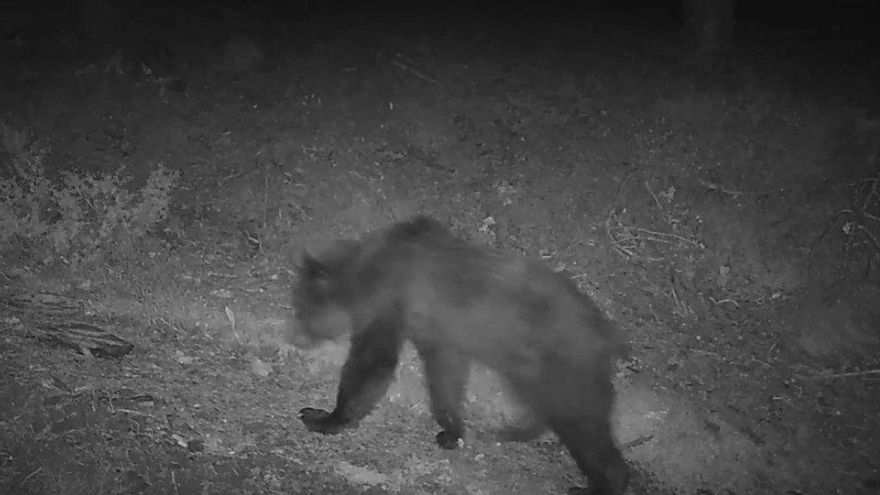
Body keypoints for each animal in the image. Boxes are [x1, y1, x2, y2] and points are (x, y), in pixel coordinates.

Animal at [290, 215, 629, 495]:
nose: (294, 336)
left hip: (564, 369)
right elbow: (445, 374)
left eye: (302, 306)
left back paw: (599, 483)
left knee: (586, 425)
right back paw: (514, 431)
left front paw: (324, 417)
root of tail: (608, 334)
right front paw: (452, 430)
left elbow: (373, 364)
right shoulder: (437, 332)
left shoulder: (391, 305)